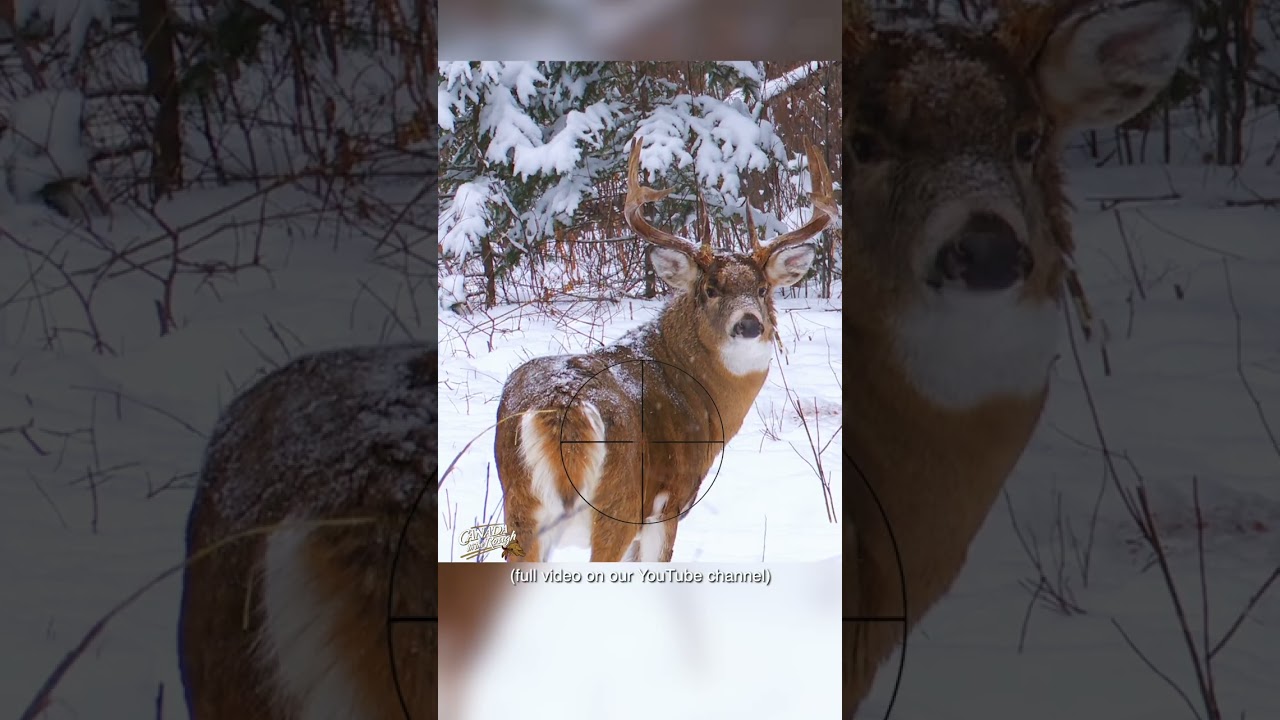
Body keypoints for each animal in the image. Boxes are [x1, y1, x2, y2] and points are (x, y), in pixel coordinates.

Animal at [493, 138, 838, 563]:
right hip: (617, 504)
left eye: (762, 289)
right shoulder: (666, 505)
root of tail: (560, 408)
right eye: (710, 289)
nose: (749, 324)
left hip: (520, 512)